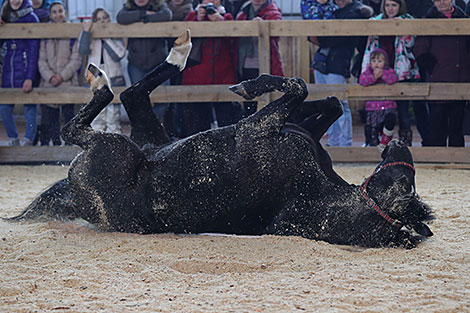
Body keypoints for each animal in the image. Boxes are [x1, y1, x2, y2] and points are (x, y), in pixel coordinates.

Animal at [7, 30, 434, 247]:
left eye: (407, 184)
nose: (398, 143)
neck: (321, 192)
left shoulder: (256, 128)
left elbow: (296, 86)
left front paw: (248, 86)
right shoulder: (295, 127)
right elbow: (326, 101)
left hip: (115, 147)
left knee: (98, 111)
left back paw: (105, 77)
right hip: (149, 135)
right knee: (132, 95)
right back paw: (179, 50)